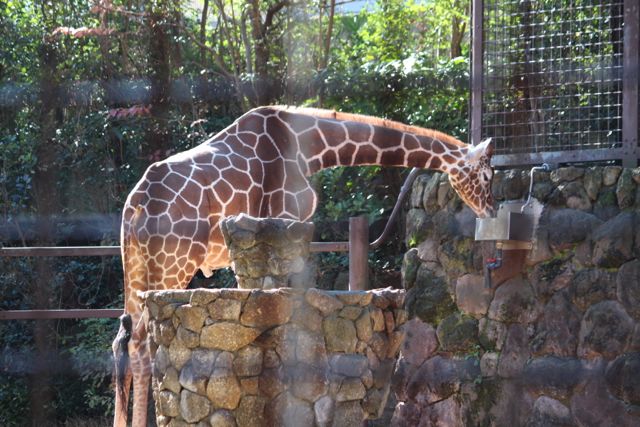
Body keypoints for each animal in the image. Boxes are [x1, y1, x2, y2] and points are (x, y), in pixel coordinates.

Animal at [114, 104, 496, 427]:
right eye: (487, 176)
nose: (491, 210)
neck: (313, 149)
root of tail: (136, 204)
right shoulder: (283, 218)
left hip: (136, 268)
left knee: (127, 343)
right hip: (173, 262)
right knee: (144, 346)